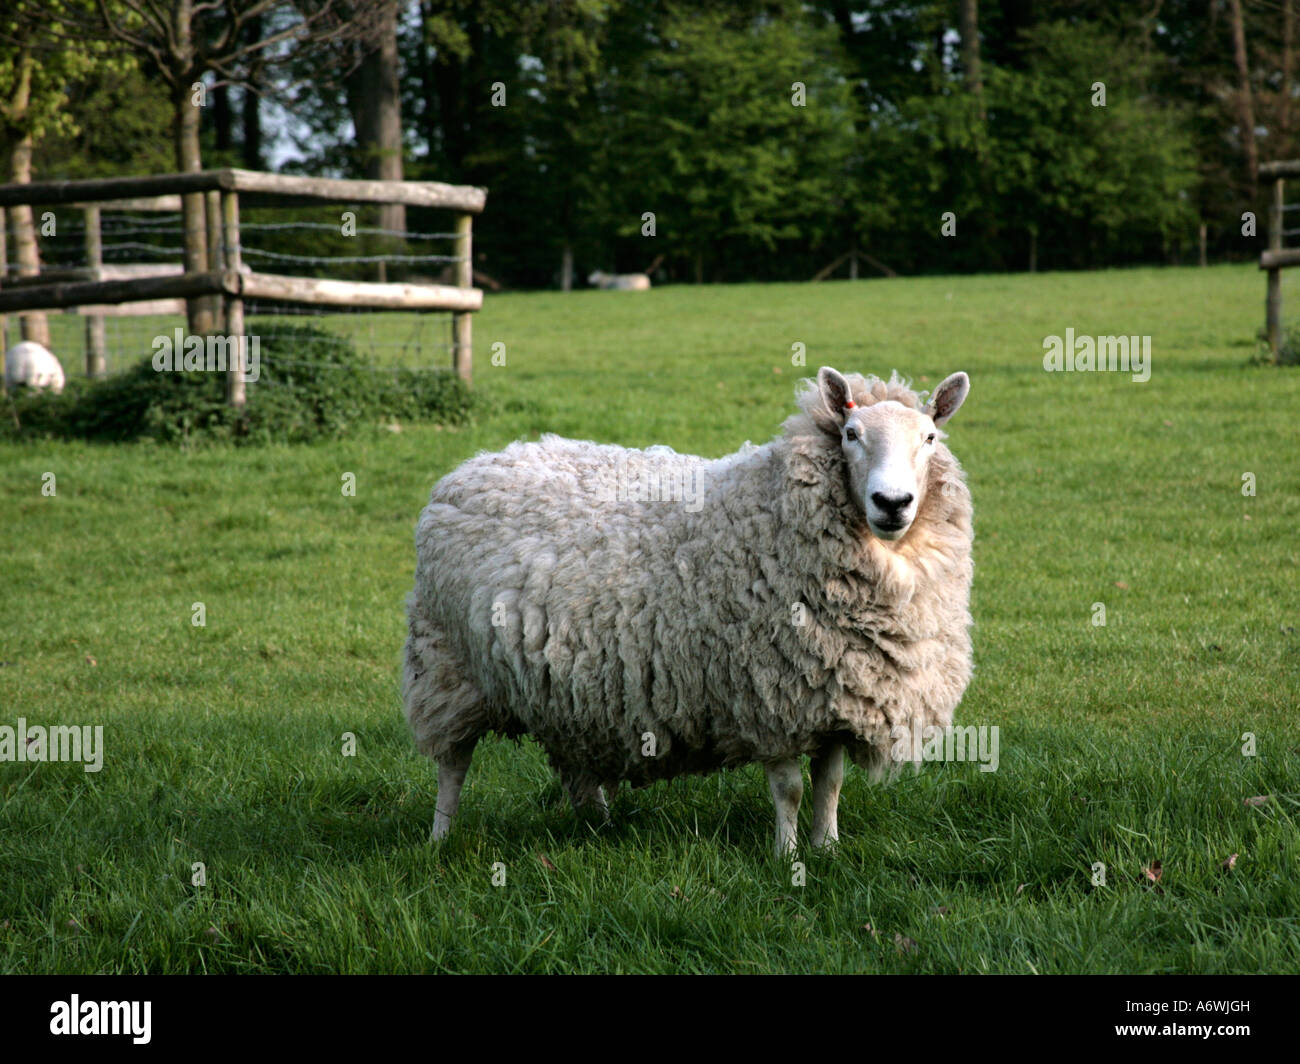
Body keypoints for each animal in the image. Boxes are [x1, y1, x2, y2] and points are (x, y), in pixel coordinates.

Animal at [400, 364, 972, 853]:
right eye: (851, 433)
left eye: (930, 438)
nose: (892, 503)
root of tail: (471, 465)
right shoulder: (769, 697)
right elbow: (788, 788)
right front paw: (788, 857)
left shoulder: (837, 693)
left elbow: (829, 784)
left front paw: (826, 848)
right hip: (447, 667)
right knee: (452, 764)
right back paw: (440, 838)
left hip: (558, 685)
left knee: (572, 761)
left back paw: (597, 824)